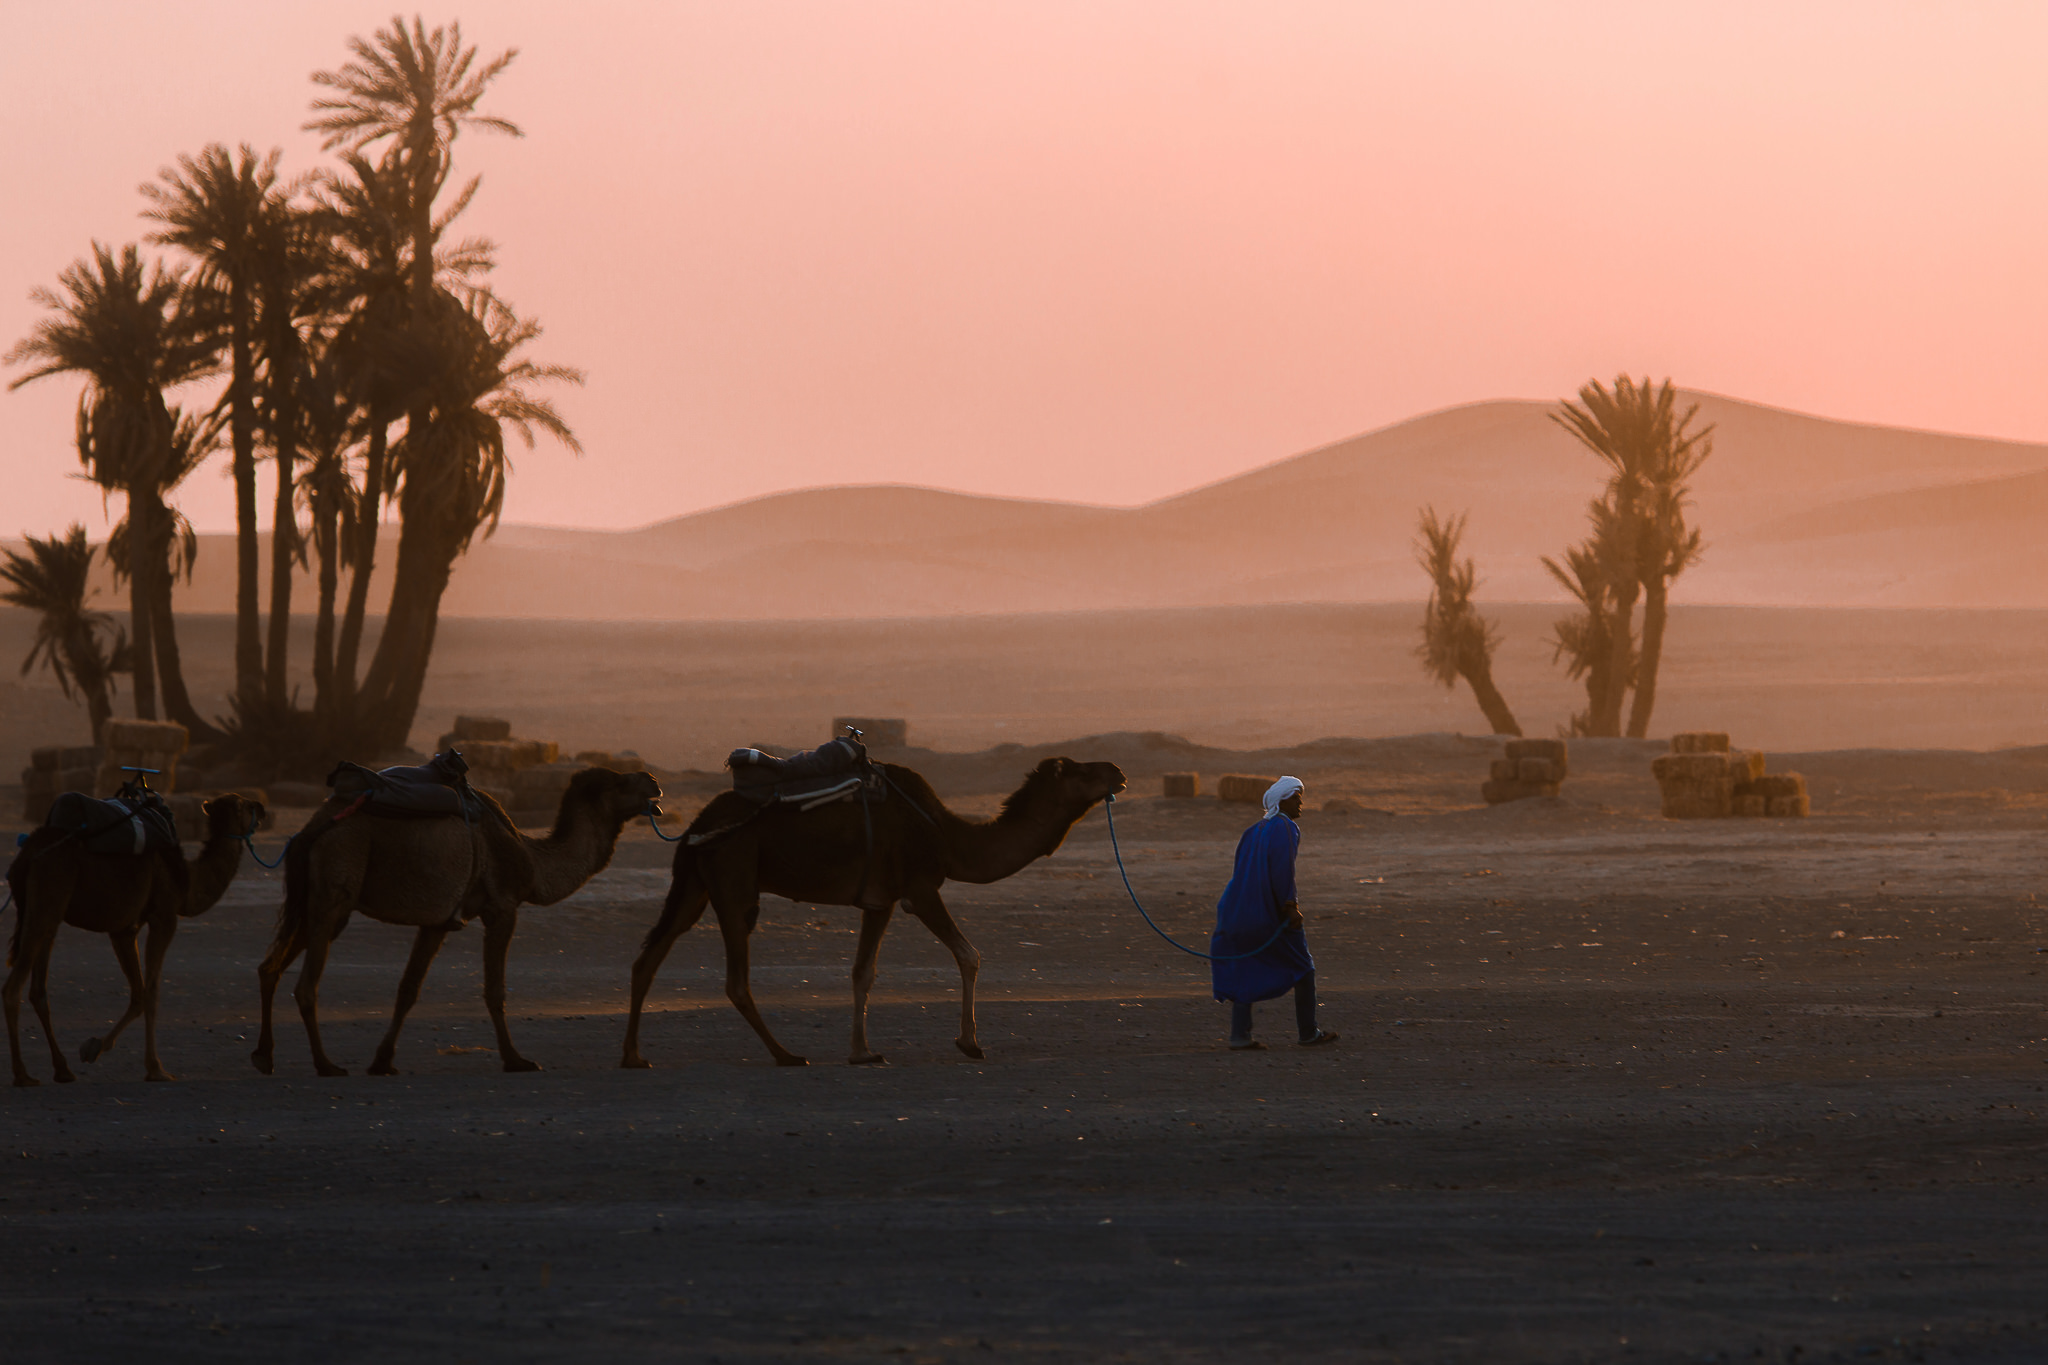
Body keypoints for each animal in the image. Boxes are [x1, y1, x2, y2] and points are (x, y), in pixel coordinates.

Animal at [3, 789, 268, 1088]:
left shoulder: (125, 928)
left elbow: (138, 993)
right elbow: (151, 991)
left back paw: (62, 1069)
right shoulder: (164, 917)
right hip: (46, 900)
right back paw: (22, 1074)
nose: (263, 808)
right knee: (13, 988)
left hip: (46, 912)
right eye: (245, 805)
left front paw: (93, 1047)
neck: (187, 880)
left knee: (38, 990)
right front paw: (156, 1069)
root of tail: (26, 855)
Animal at [249, 769, 655, 1080]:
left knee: (269, 967)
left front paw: (383, 1061)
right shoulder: (503, 907)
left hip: (314, 903)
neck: (531, 858)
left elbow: (408, 990)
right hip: (337, 883)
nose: (653, 781)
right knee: (305, 985)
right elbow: (494, 990)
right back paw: (326, 1064)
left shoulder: (438, 921)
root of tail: (310, 829)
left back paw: (265, 1057)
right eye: (621, 782)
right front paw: (516, 1059)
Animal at [618, 757, 1130, 1064]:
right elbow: (969, 954)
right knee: (735, 979)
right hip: (733, 879)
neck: (948, 836)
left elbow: (863, 972)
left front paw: (862, 1051)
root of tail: (697, 824)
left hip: (695, 885)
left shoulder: (879, 900)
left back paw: (633, 1055)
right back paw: (786, 1054)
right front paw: (969, 1042)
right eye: (1084, 770)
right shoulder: (919, 889)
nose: (1118, 771)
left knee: (649, 958)